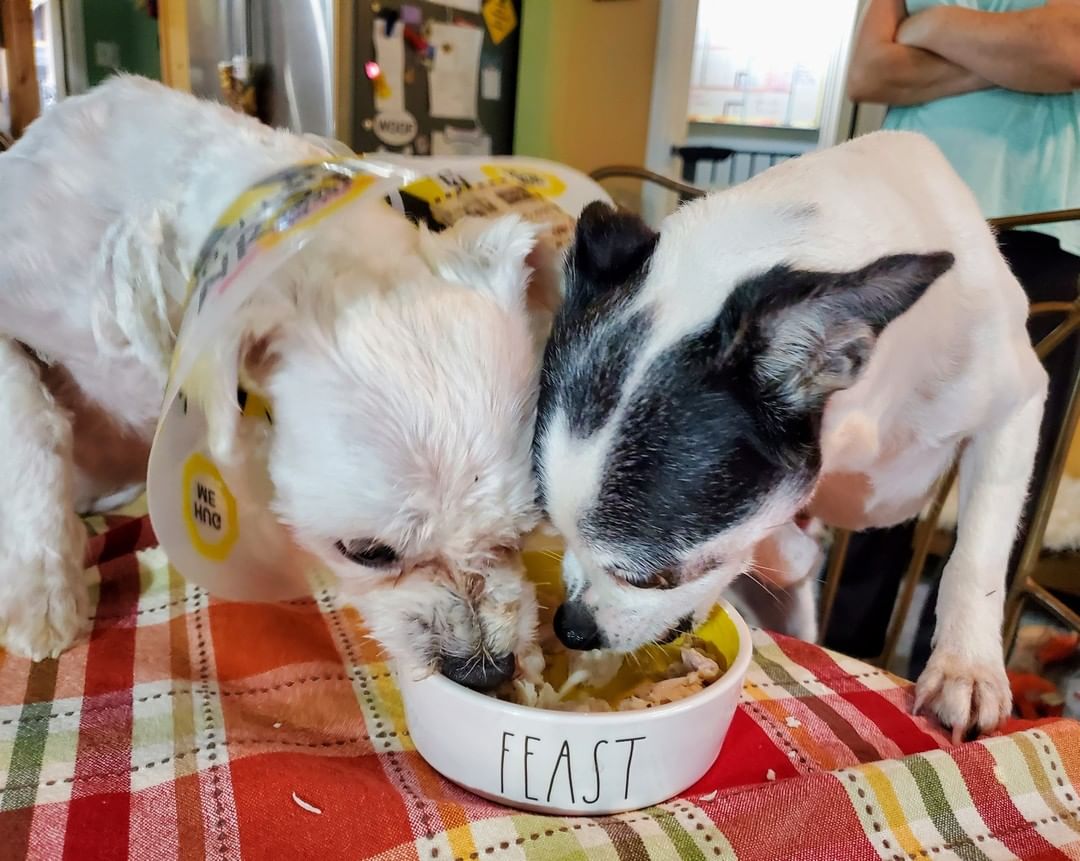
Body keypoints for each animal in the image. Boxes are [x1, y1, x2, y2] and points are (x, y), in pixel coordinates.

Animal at [535, 131, 1049, 734]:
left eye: (652, 579)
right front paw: (796, 553)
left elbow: (978, 551)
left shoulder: (1016, 405)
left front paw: (966, 668)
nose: (570, 626)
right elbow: (771, 528)